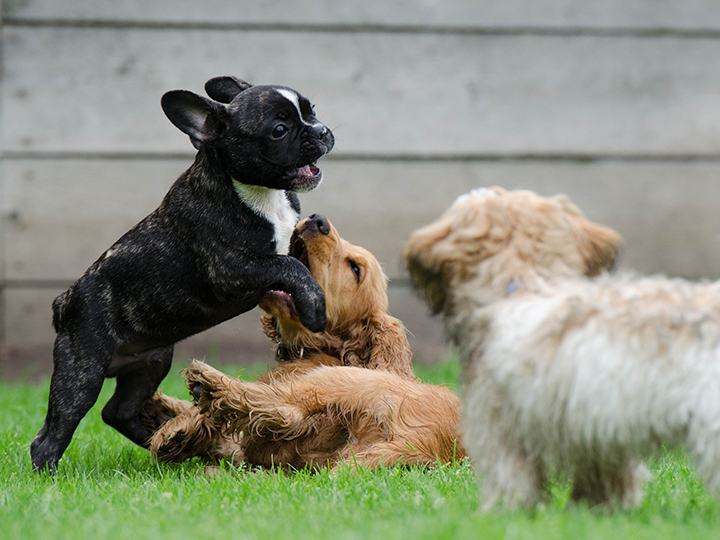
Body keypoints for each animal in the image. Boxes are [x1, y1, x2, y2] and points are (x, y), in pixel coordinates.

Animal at [32, 76, 336, 472]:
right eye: (279, 130)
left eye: (311, 111)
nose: (321, 130)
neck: (260, 193)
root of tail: (65, 300)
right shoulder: (232, 270)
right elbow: (289, 265)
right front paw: (314, 307)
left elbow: (297, 260)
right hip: (82, 371)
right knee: (55, 430)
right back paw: (49, 474)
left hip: (152, 361)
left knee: (119, 411)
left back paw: (165, 444)